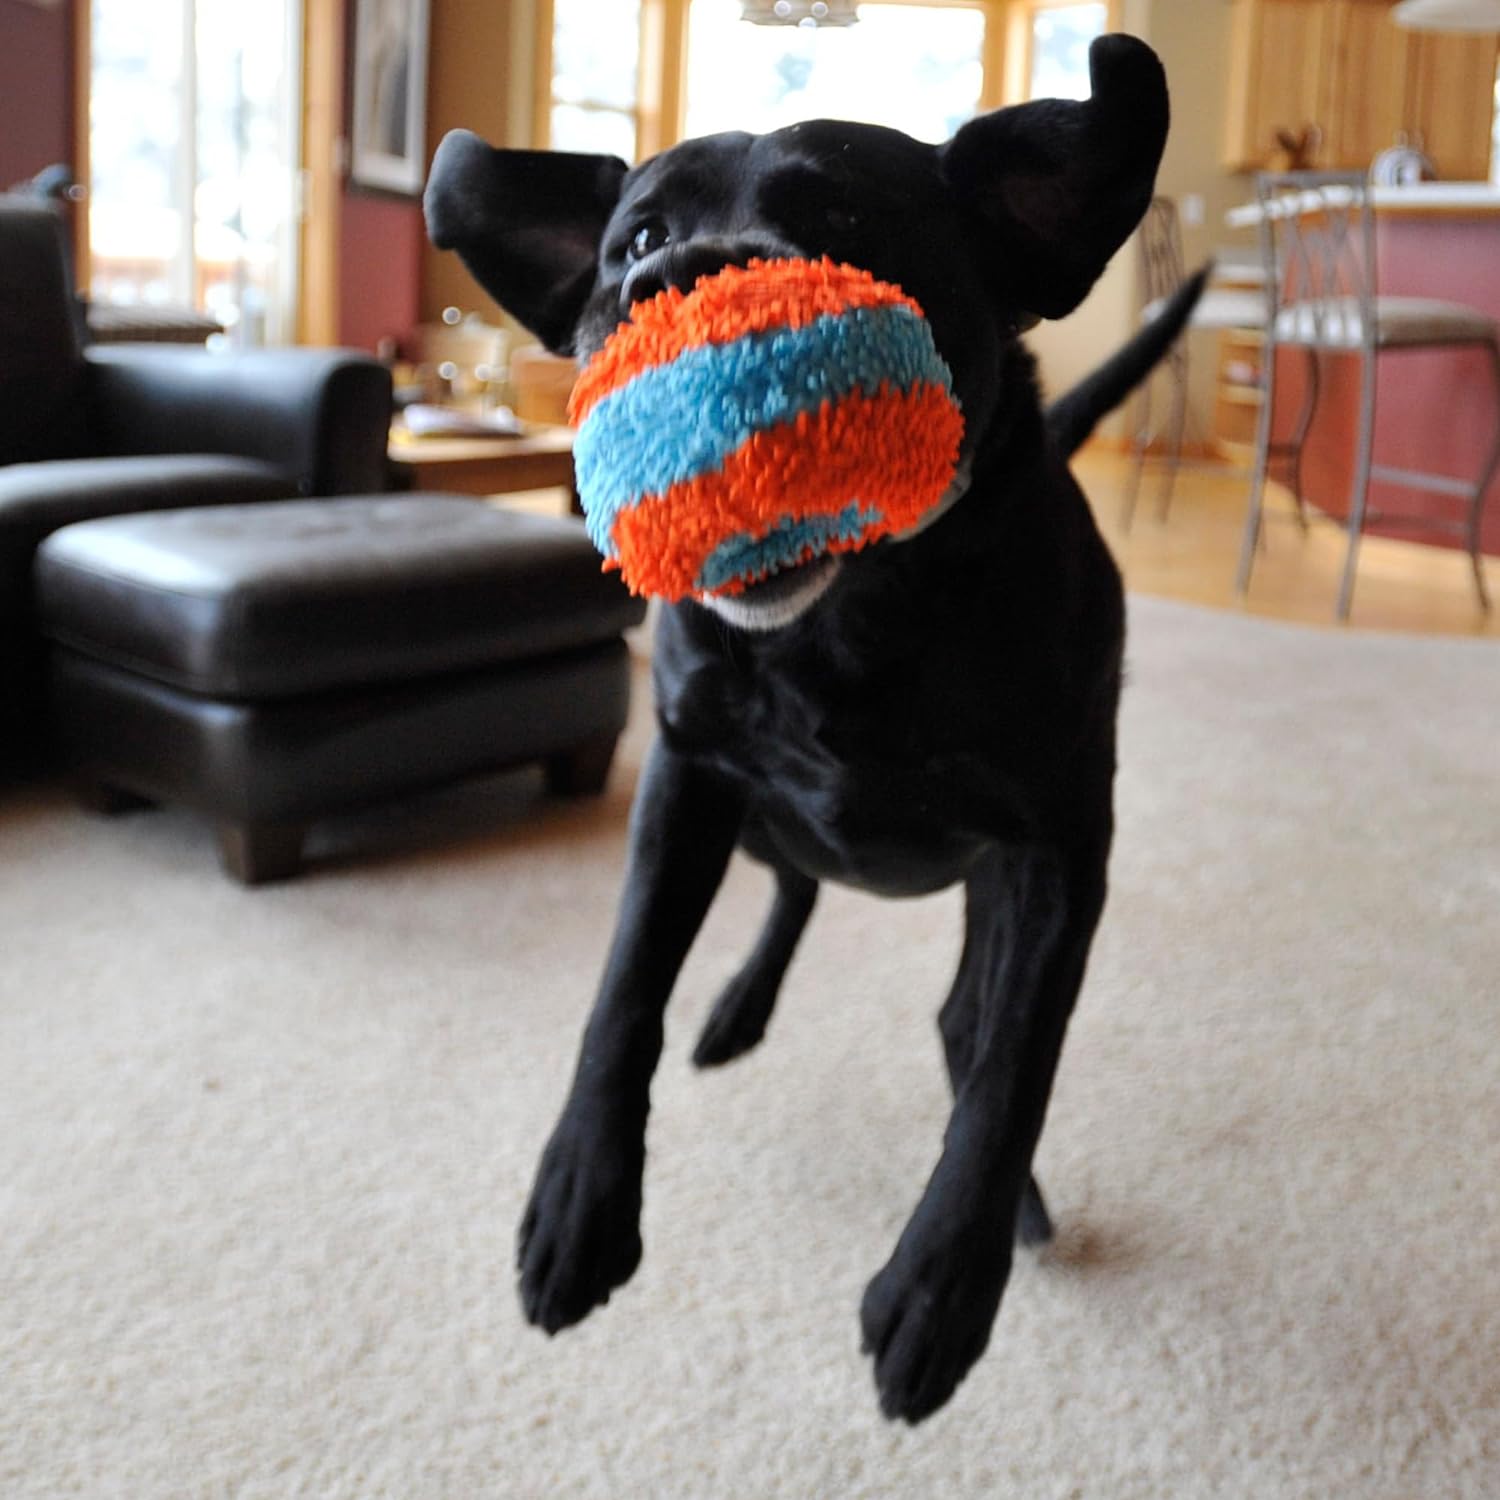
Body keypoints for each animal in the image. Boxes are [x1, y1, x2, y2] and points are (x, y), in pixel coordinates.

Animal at [429, 32, 1200, 1416]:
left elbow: (1014, 1068)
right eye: (636, 238)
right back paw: (737, 1010)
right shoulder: (684, 777)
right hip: (748, 821)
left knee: (960, 1021)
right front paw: (579, 1200)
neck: (850, 625)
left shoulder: (1061, 849)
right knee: (794, 888)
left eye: (847, 223)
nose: (680, 279)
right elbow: (622, 993)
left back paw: (1008, 1204)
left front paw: (942, 1284)